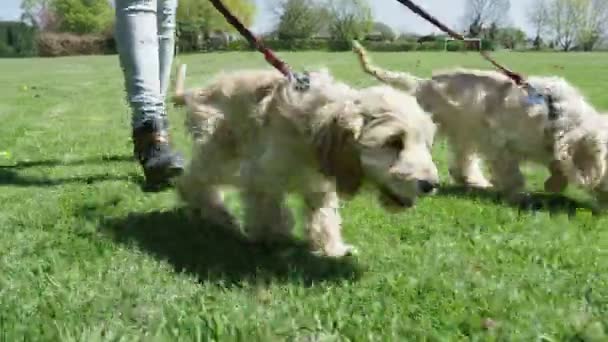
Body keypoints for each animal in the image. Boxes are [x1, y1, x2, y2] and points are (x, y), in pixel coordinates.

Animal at [173, 64, 440, 256]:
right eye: (394, 141)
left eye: (425, 143)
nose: (431, 185)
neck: (313, 127)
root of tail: (200, 91)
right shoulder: (262, 174)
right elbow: (269, 209)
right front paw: (274, 238)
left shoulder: (320, 184)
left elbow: (324, 215)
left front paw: (332, 249)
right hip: (221, 153)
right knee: (192, 179)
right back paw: (216, 213)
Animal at [352, 41, 608, 207]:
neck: (553, 112)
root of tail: (422, 83)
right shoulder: (499, 142)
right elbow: (512, 173)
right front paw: (520, 196)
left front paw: (553, 184)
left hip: (465, 134)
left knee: (462, 162)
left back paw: (474, 181)